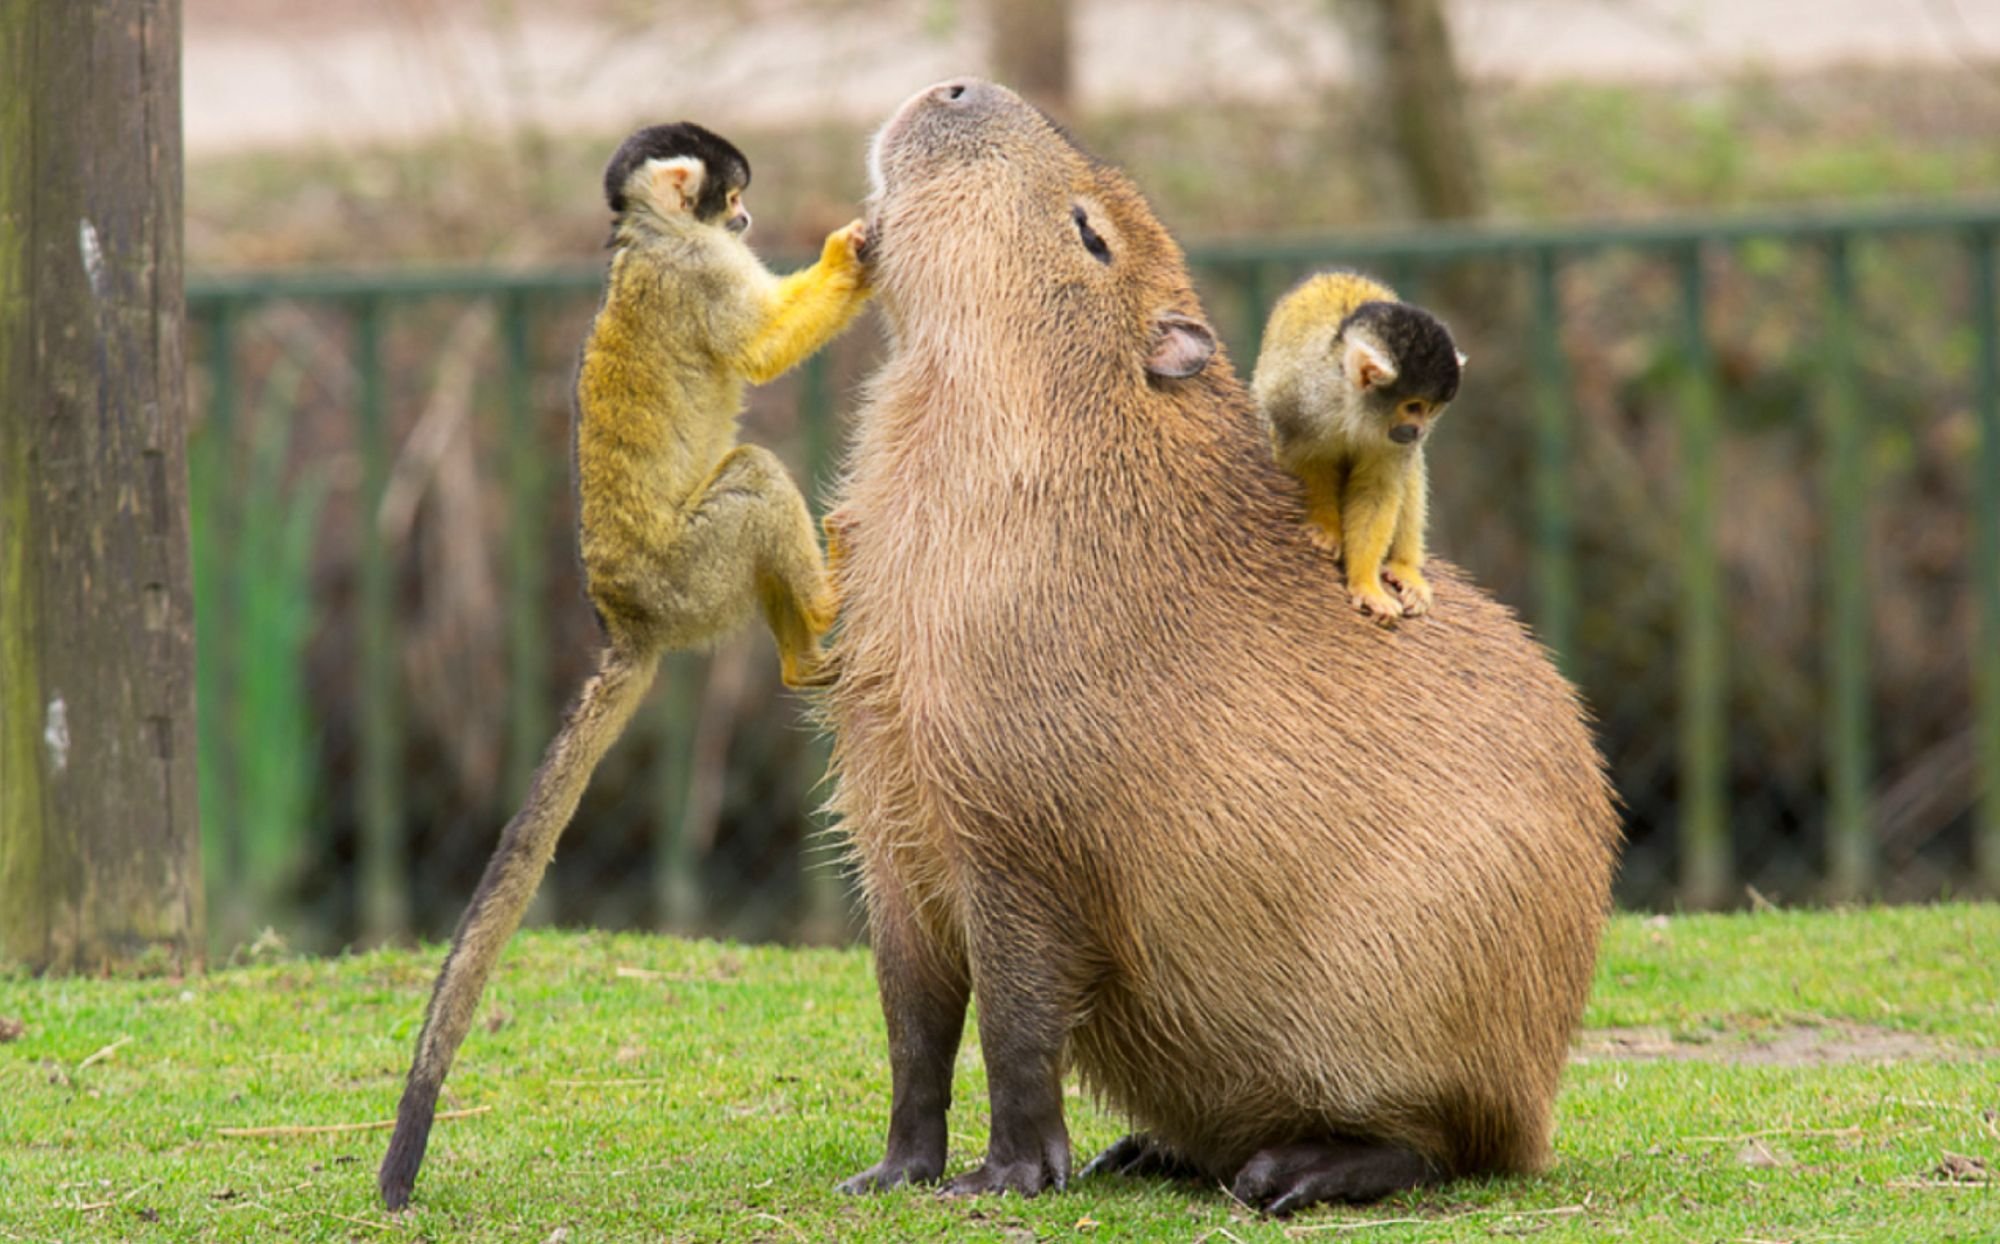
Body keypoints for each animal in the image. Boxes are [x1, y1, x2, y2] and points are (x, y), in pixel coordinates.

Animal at [382, 122, 868, 1216]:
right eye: (731, 198)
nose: (744, 217)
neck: (647, 236)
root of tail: (627, 621)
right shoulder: (696, 273)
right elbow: (760, 349)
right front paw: (849, 251)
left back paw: (800, 658)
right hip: (691, 574)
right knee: (751, 479)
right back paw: (824, 610)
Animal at [1256, 272, 1464, 624]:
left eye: (1431, 409)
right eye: (1413, 407)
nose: (1420, 430)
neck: (1350, 403)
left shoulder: (1394, 436)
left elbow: (1376, 489)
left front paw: (1366, 583)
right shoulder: (1301, 399)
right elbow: (1304, 458)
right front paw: (1325, 527)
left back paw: (1404, 566)